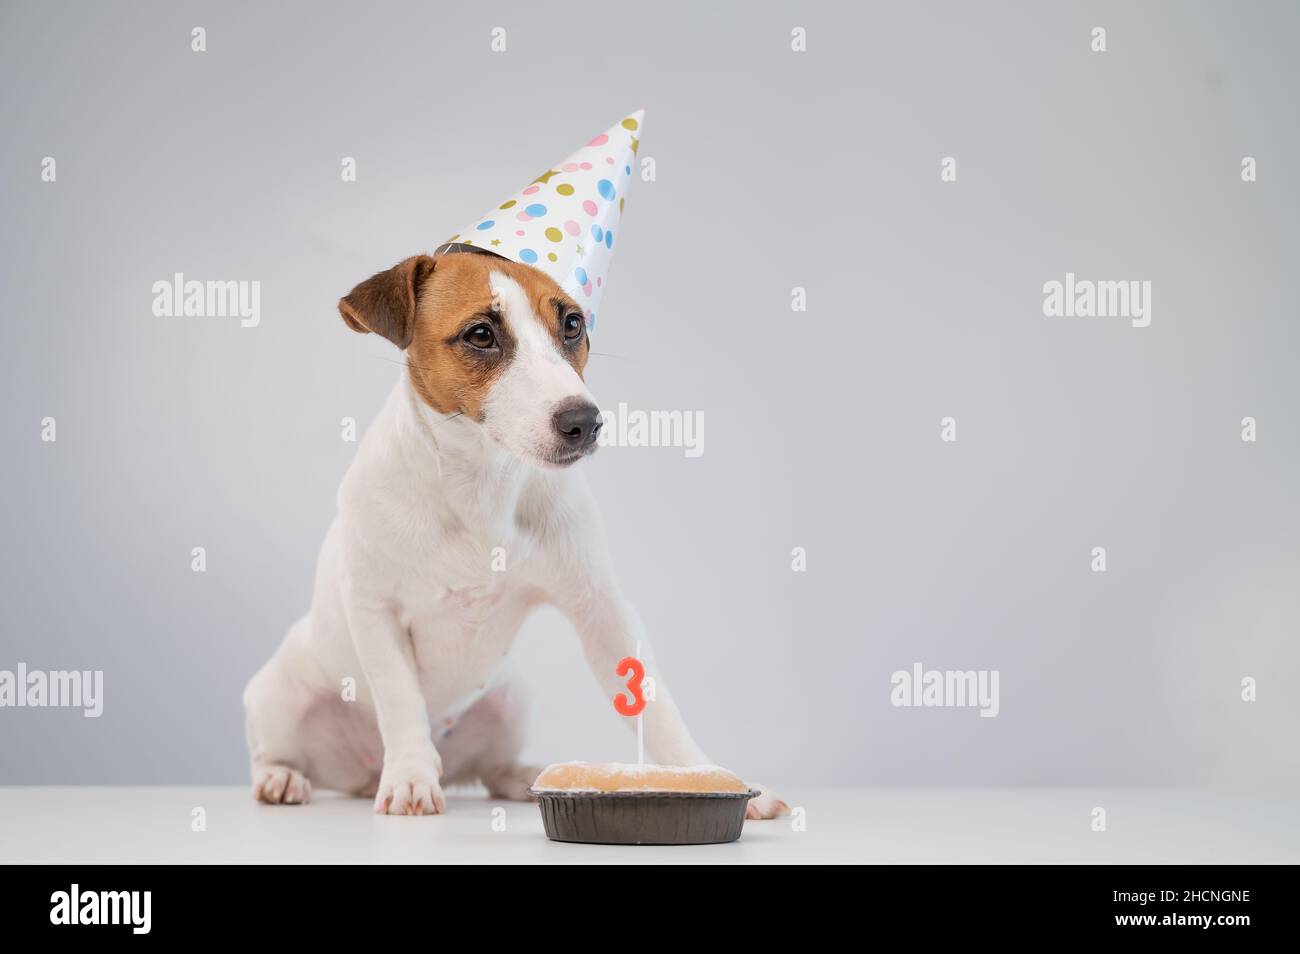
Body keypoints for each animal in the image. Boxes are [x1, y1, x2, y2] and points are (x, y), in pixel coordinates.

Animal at [245, 254, 790, 821]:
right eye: (481, 334)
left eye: (572, 324)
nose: (585, 422)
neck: (480, 485)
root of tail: (363, 772)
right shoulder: (375, 610)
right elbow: (400, 698)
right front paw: (411, 777)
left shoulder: (600, 610)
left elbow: (657, 707)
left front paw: (707, 774)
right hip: (278, 696)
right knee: (276, 752)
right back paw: (284, 778)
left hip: (509, 703)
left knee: (491, 769)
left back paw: (527, 775)